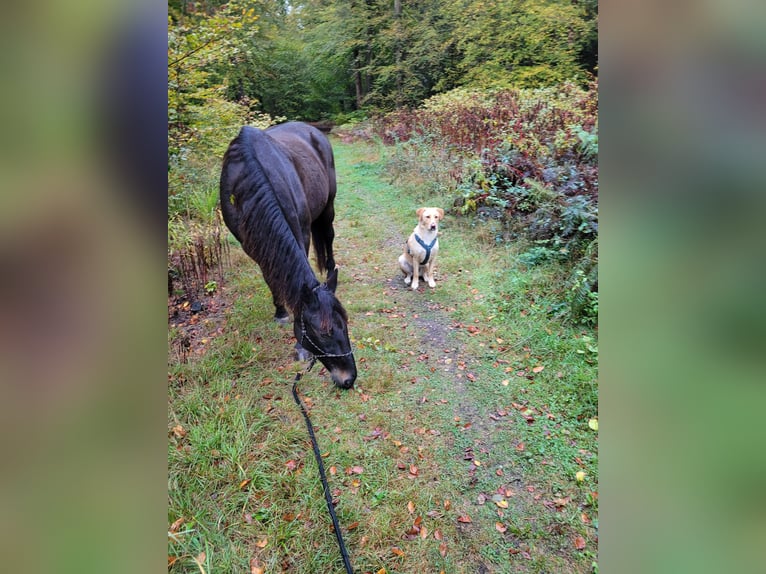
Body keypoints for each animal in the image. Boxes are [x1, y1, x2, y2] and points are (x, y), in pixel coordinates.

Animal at [219, 122, 356, 392]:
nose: (349, 378)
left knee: (329, 235)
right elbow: (272, 277)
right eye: (323, 332)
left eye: (345, 324)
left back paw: (330, 269)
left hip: (328, 206)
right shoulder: (253, 245)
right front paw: (281, 312)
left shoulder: (301, 232)